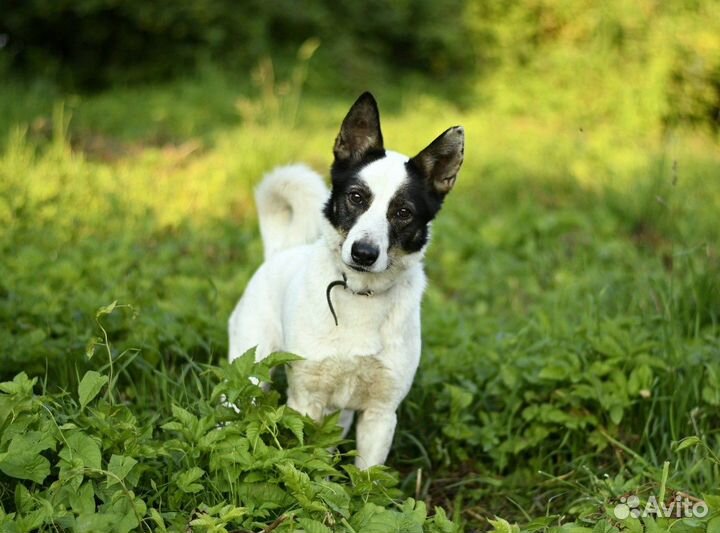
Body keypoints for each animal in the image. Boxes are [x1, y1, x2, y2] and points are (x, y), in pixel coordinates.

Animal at [231, 93, 466, 468]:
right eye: (356, 197)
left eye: (403, 212)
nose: (364, 253)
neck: (361, 294)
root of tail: (280, 251)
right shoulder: (306, 400)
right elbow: (306, 462)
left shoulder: (381, 413)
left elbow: (365, 476)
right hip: (249, 371)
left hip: (337, 413)